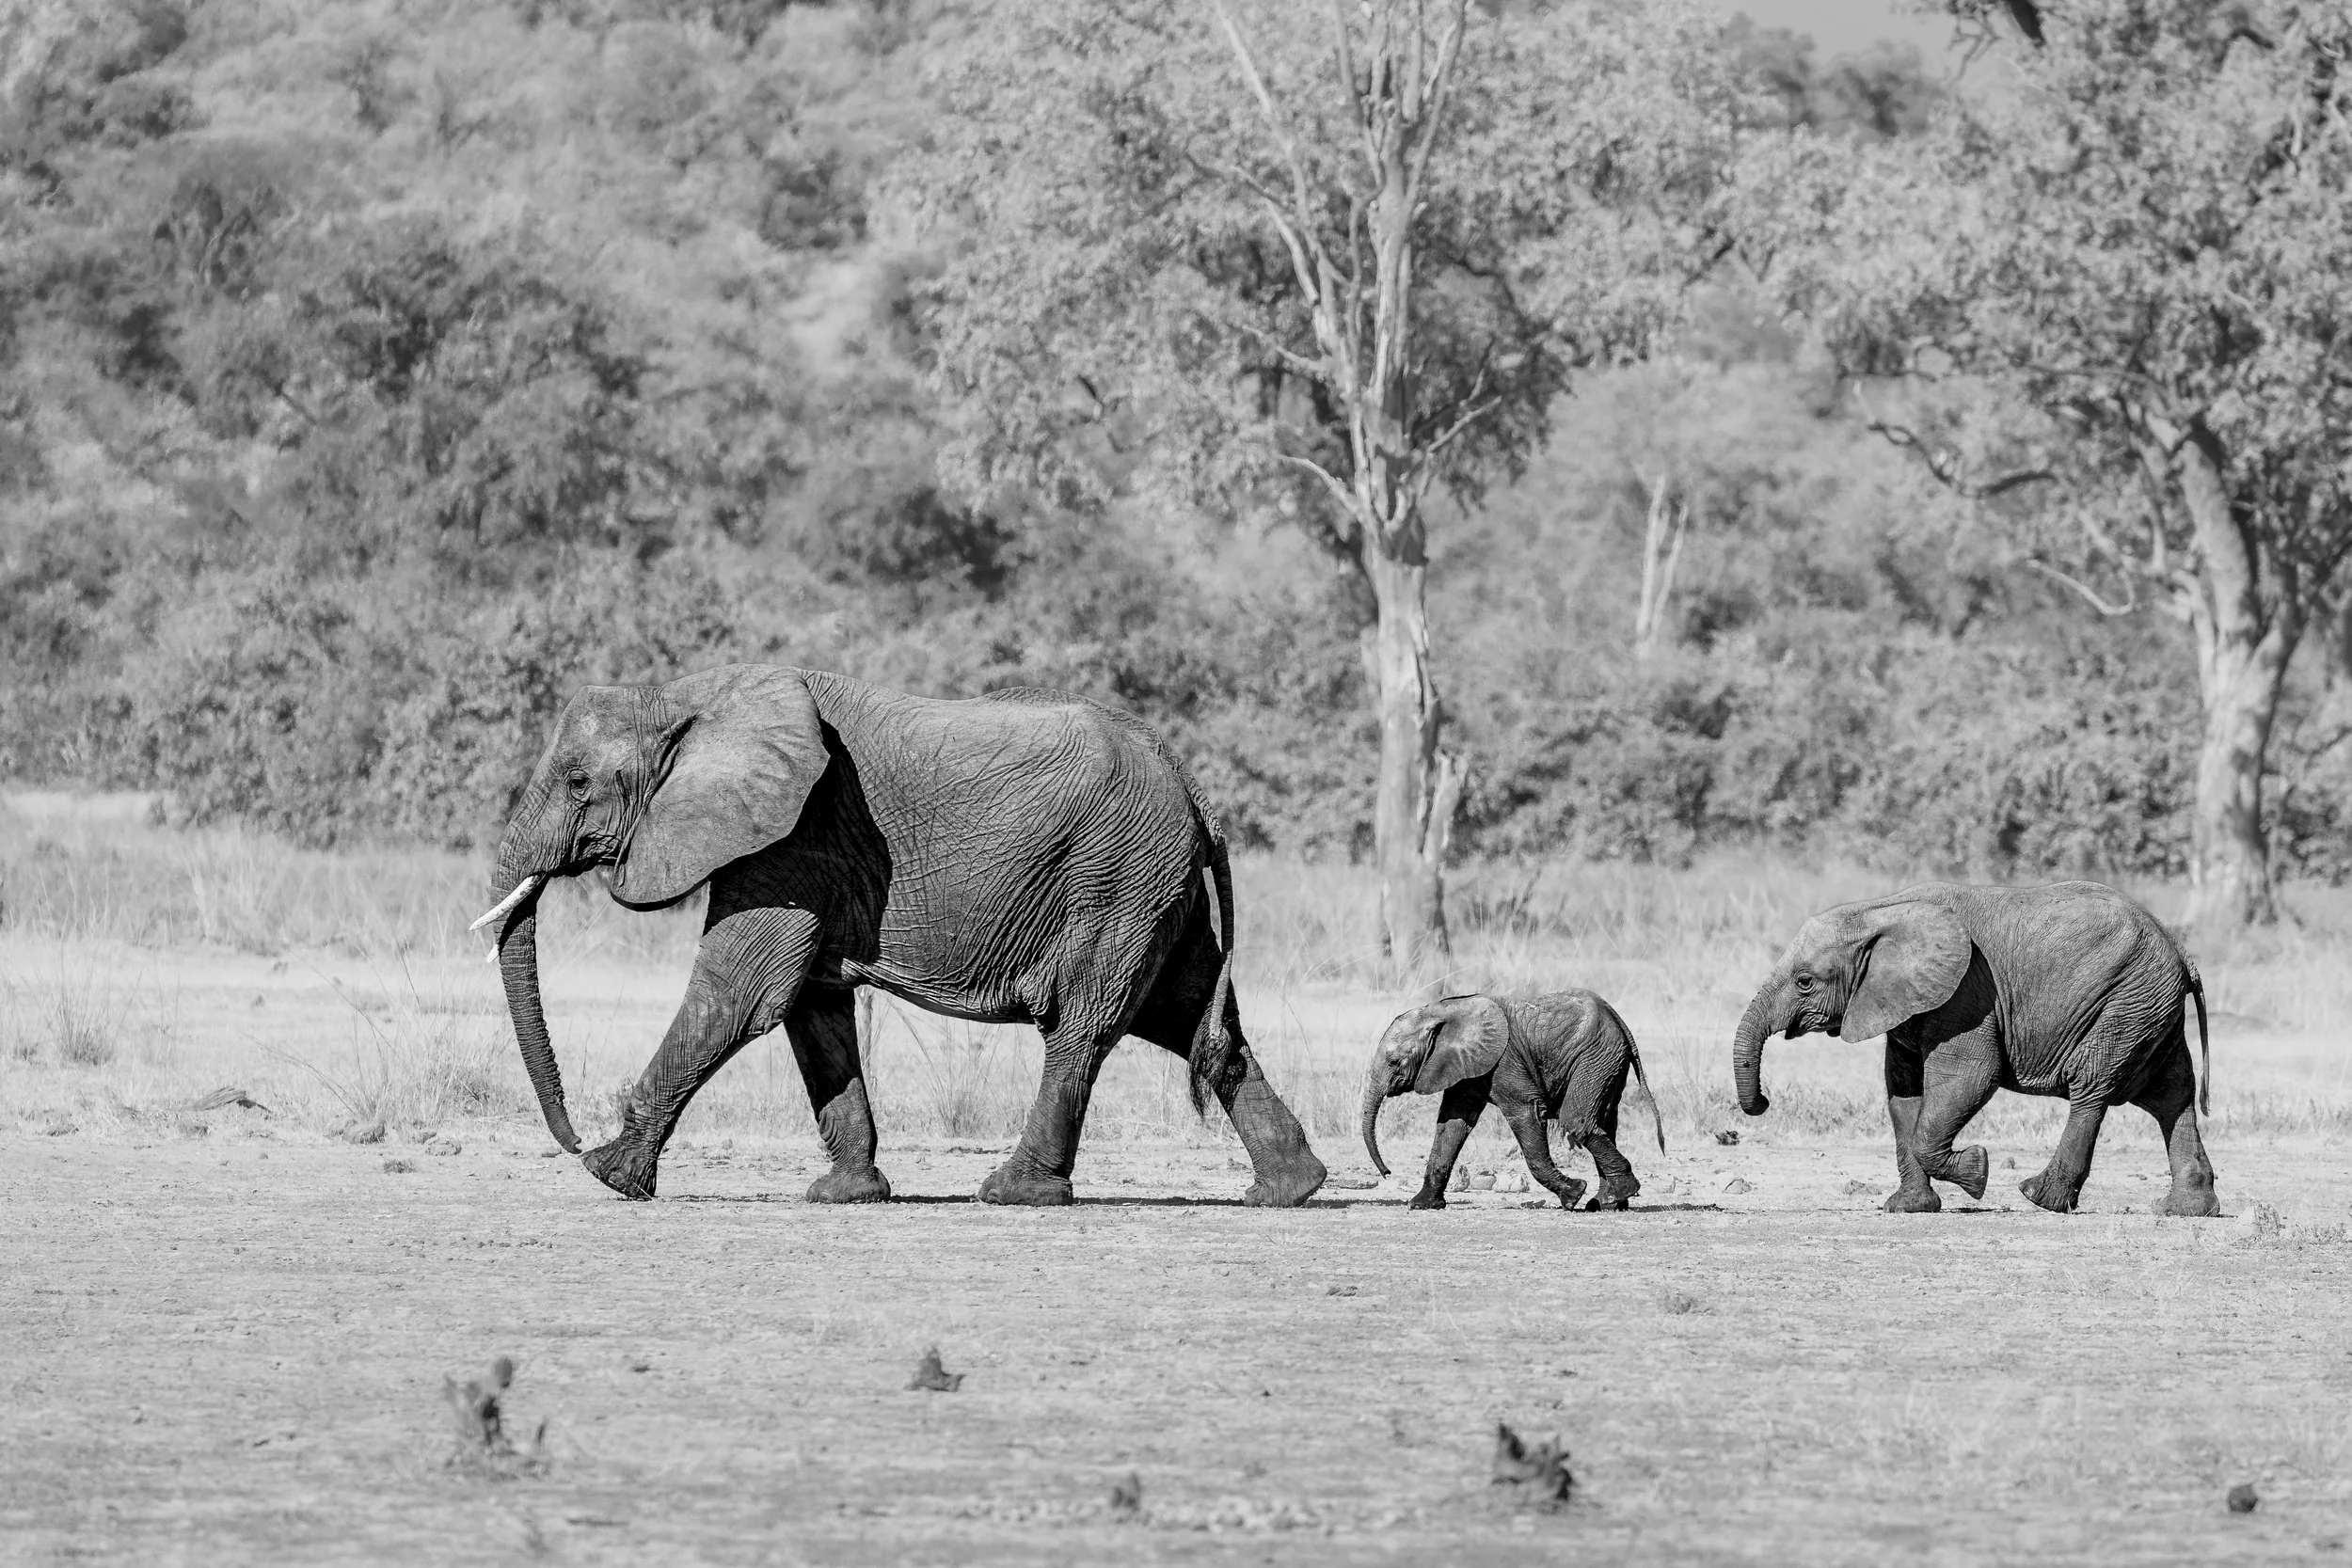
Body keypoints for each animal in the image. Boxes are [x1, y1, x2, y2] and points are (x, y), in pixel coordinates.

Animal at [471, 664, 1328, 1209]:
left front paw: (609, 1174)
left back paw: (1014, 1194)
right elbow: (811, 1006)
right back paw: (1288, 1189)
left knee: (1085, 1024)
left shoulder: (792, 838)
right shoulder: (804, 857)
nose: (570, 1137)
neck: (685, 697)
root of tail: (1195, 787)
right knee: (1192, 1016)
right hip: (1152, 886)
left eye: (578, 782)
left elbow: (740, 993)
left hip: (1116, 877)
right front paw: (844, 1195)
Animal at [1360, 991, 1665, 1211]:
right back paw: (1609, 1203)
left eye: (1394, 1062)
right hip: (1606, 1061)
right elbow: (1451, 1125)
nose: (1387, 1172)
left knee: (1577, 1120)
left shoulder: (1505, 1063)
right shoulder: (1464, 1066)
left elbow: (1526, 1114)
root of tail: (1618, 1020)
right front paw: (1421, 1205)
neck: (1442, 1011)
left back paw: (1609, 1198)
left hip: (1595, 1056)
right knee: (1604, 1122)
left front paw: (1573, 1195)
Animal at [1731, 880, 2218, 1217]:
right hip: (2148, 1008)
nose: (1765, 1101)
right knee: (2171, 1095)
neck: (1879, 912)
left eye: (1805, 982)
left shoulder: (1966, 994)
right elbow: (1903, 1093)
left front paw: (1977, 1170)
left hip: (2126, 1002)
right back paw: (2184, 1211)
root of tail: (2182, 952)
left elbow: (1971, 1076)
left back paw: (2038, 1197)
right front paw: (1909, 1208)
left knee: (2093, 1086)